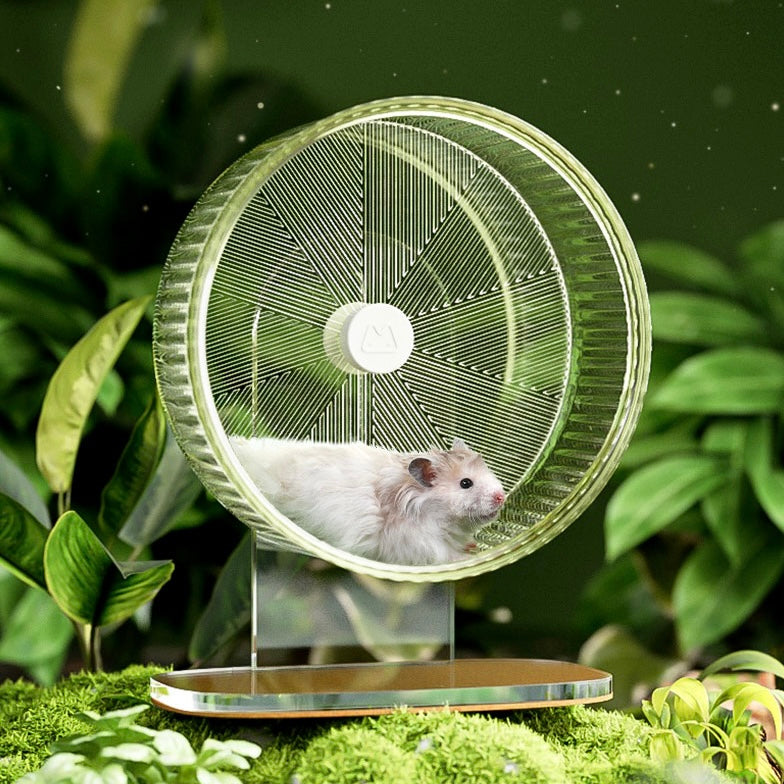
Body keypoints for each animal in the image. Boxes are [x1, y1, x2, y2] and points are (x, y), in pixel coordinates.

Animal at [228, 436, 505, 566]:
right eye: (466, 483)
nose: (502, 497)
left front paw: (472, 546)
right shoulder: (418, 544)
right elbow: (444, 555)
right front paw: (465, 558)